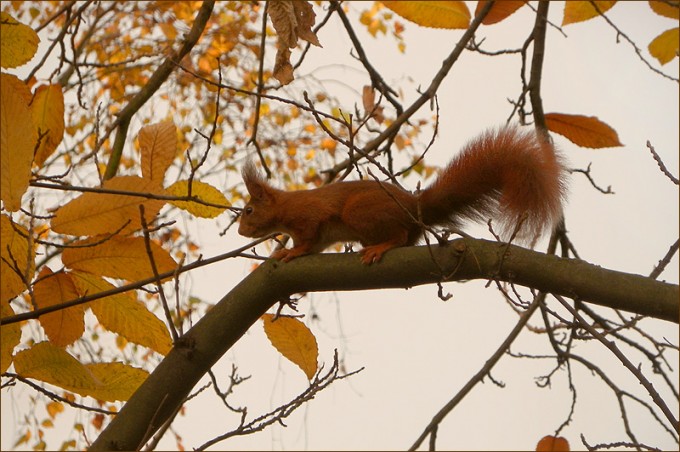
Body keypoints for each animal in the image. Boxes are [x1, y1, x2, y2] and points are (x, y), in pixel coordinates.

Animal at [238, 126, 566, 264]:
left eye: (249, 211)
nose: (241, 231)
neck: (285, 205)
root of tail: (413, 205)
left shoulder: (308, 216)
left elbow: (306, 239)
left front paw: (291, 252)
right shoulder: (320, 235)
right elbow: (315, 245)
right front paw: (285, 250)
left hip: (359, 212)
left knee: (398, 237)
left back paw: (380, 247)